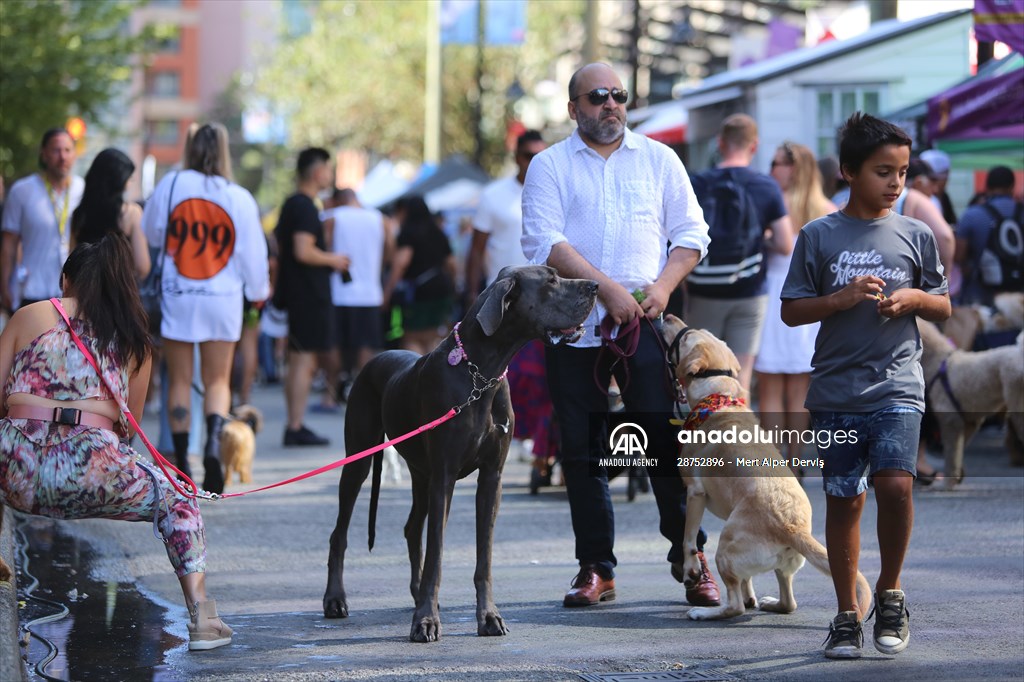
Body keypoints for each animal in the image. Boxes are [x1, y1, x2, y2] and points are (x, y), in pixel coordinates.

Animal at [323, 264, 598, 638]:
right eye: (551, 280)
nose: (596, 285)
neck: (481, 375)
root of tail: (376, 356)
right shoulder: (445, 476)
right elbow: (437, 554)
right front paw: (426, 620)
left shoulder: (491, 477)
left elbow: (484, 555)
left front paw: (488, 616)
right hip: (360, 459)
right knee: (340, 534)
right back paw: (335, 600)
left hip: (420, 474)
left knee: (412, 528)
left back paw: (416, 594)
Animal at [659, 315, 868, 618]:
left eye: (687, 337)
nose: (668, 316)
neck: (719, 396)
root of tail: (793, 527)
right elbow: (746, 579)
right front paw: (751, 595)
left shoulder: (694, 493)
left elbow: (688, 540)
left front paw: (691, 572)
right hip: (781, 563)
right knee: (788, 602)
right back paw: (771, 603)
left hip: (725, 547)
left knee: (734, 607)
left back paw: (705, 613)